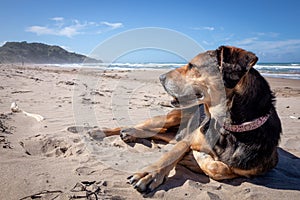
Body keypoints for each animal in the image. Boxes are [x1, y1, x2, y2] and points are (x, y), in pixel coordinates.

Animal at [89, 46, 282, 193]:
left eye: (191, 65)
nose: (160, 77)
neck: (228, 129)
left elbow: (220, 168)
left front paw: (197, 159)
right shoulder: (189, 139)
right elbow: (171, 155)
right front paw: (149, 174)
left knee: (159, 134)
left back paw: (129, 135)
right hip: (170, 118)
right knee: (136, 126)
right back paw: (104, 131)